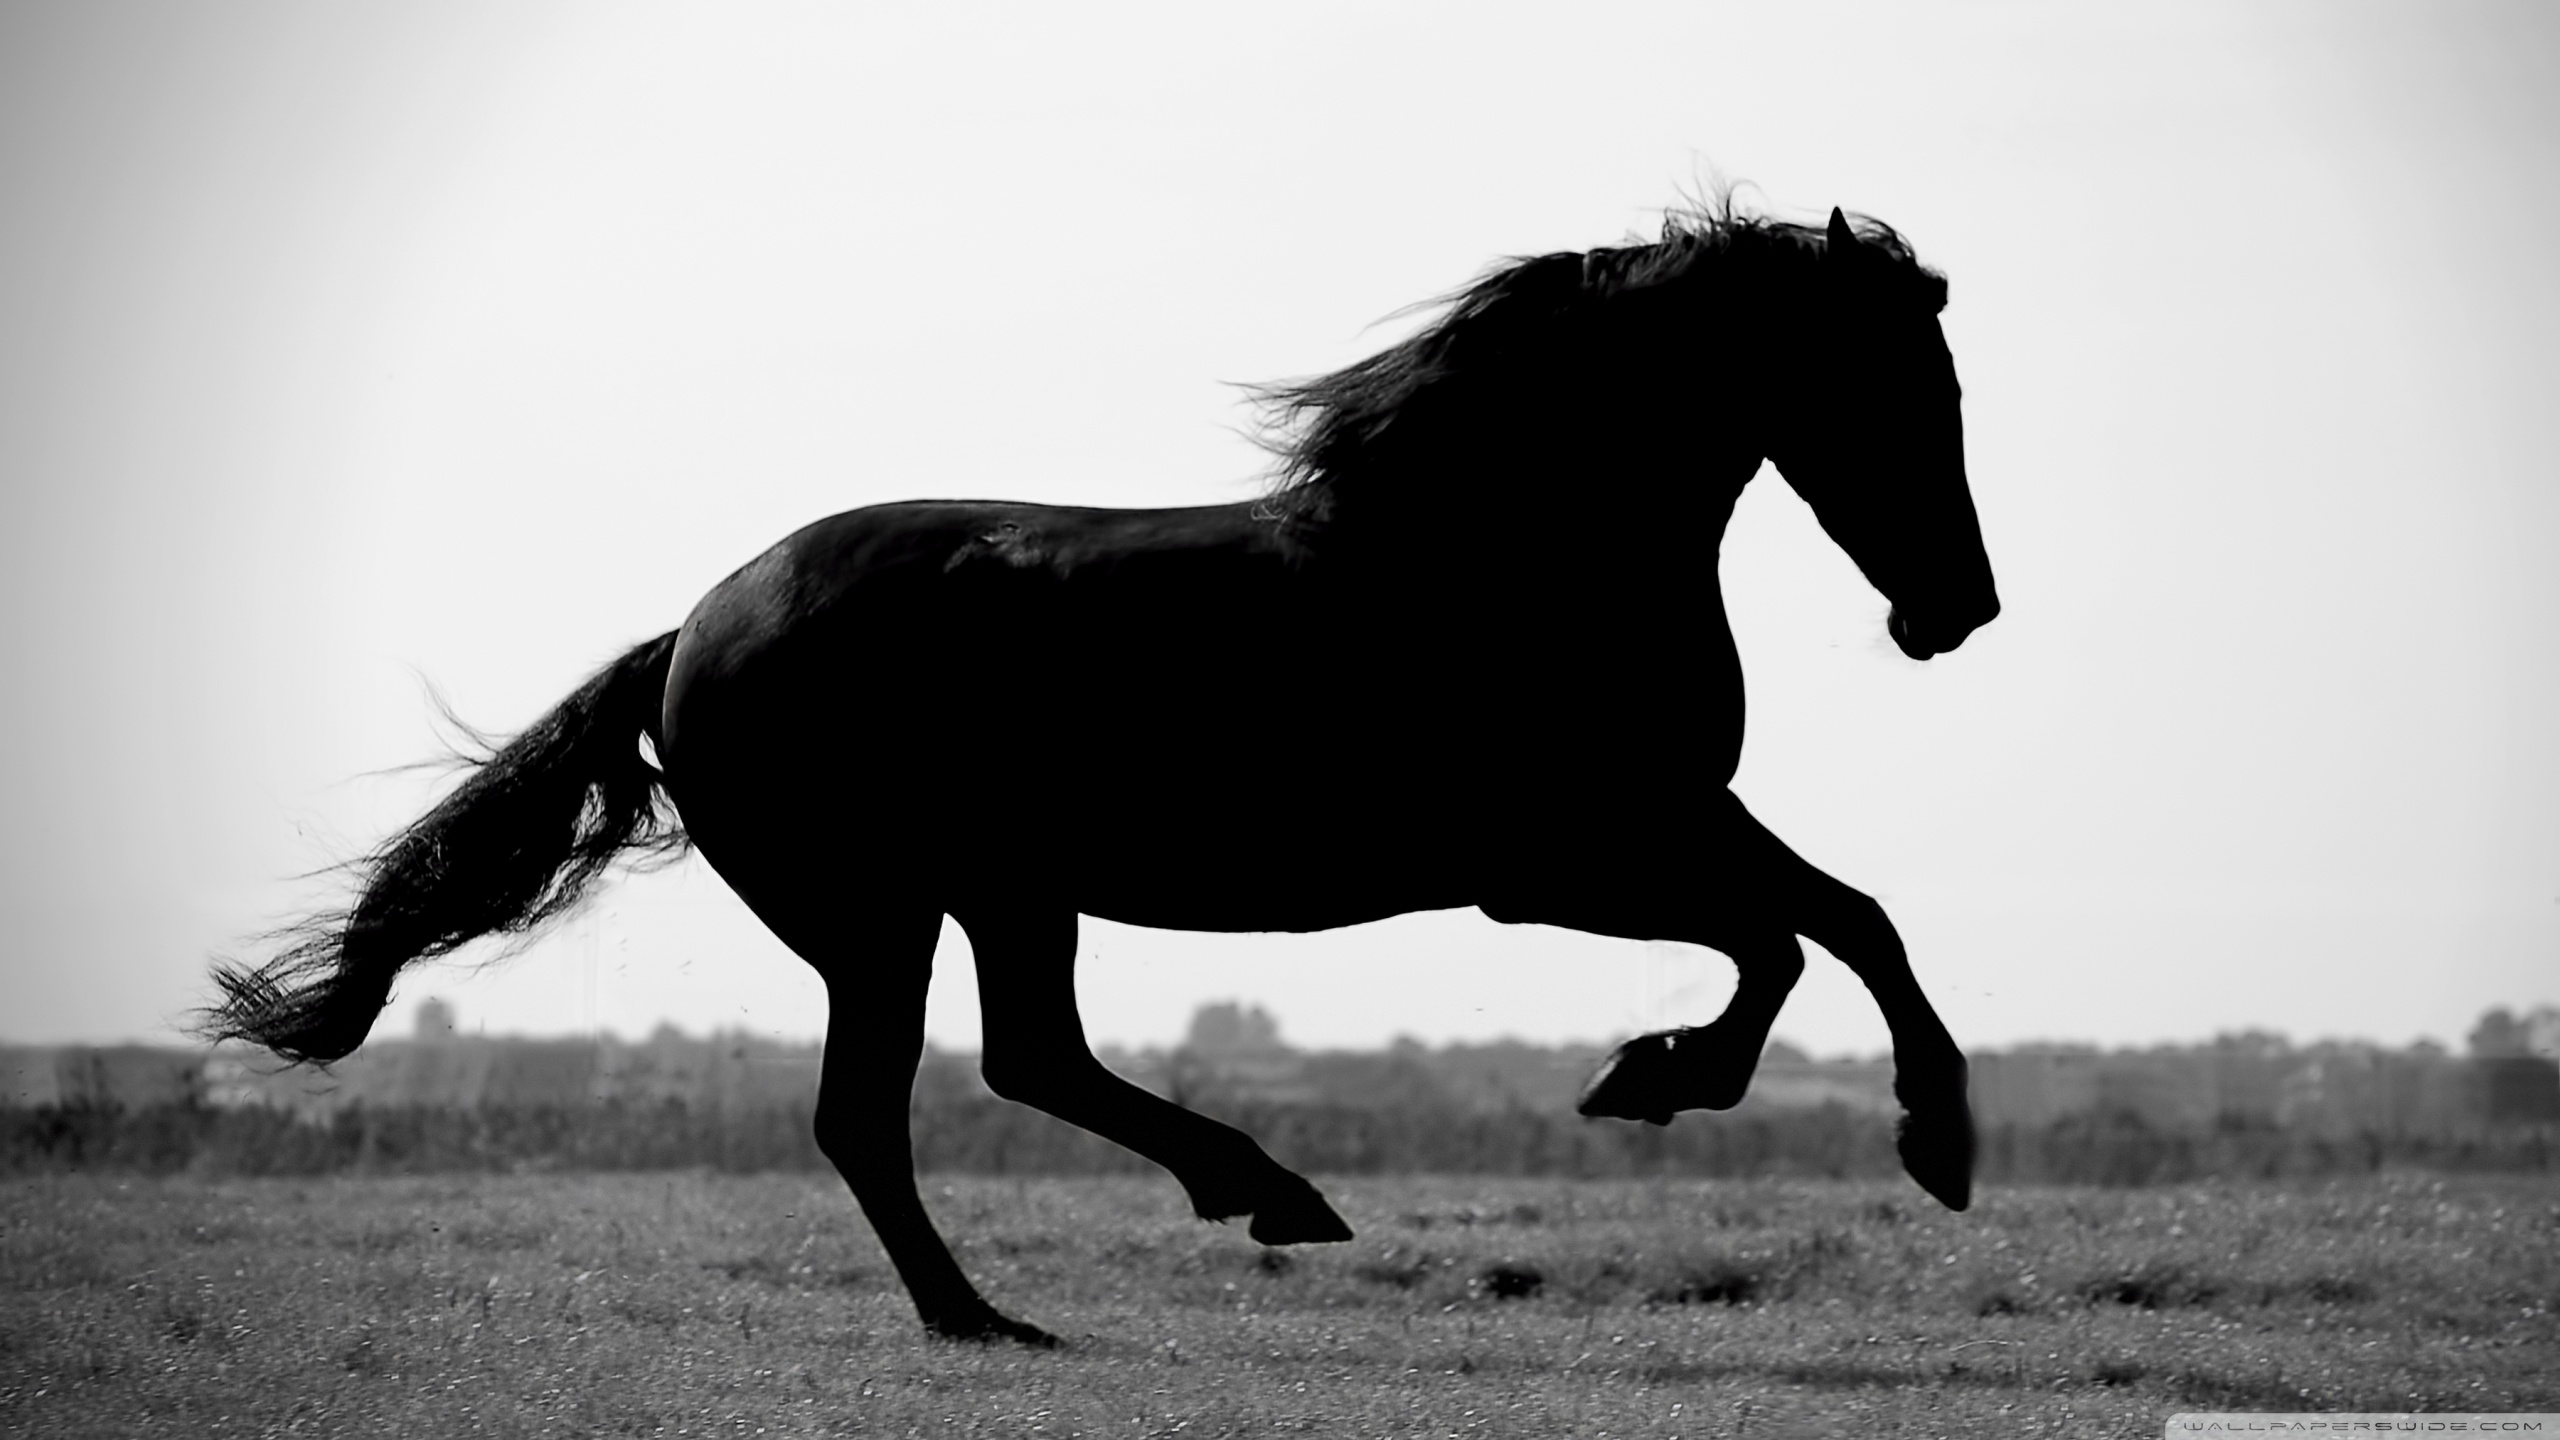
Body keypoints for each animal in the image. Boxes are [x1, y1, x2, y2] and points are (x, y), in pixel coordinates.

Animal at [199, 204, 1996, 1342]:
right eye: (1895, 386)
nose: (1957, 610)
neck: (1505, 555)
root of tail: (690, 637)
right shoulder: (1557, 861)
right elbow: (1796, 938)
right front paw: (1713, 1090)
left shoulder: (1668, 821)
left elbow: (1842, 919)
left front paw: (1885, 1126)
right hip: (883, 911)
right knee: (882, 1109)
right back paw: (1012, 1308)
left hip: (1000, 896)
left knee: (1021, 1064)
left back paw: (1229, 1210)